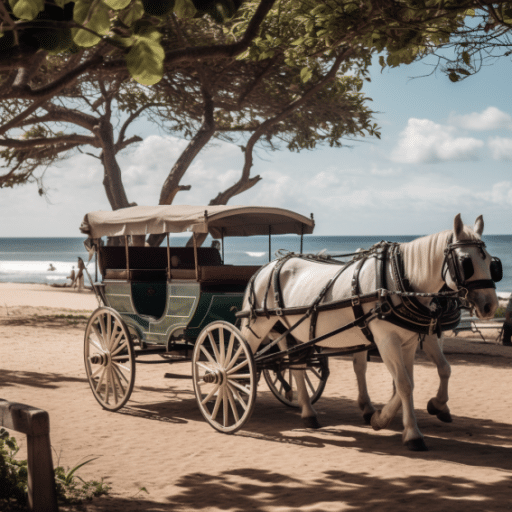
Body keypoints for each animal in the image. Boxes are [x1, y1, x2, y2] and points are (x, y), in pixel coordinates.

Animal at [242, 214, 498, 450]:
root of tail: (268, 266)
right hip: (257, 326)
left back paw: (308, 413)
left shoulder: (410, 341)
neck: (397, 280)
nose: (490, 306)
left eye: (490, 261)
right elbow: (404, 384)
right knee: (243, 359)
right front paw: (412, 433)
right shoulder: (387, 341)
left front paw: (386, 416)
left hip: (294, 332)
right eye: (466, 262)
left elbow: (415, 380)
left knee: (296, 367)